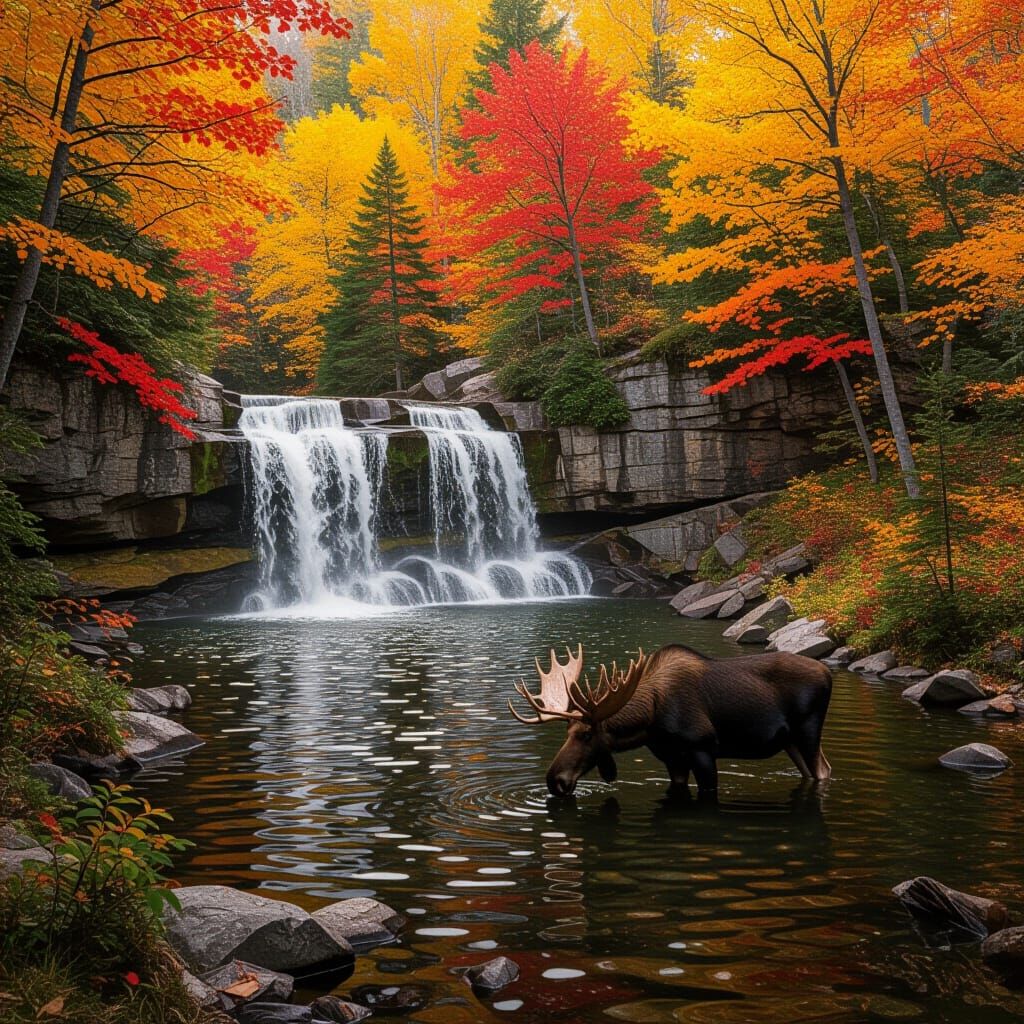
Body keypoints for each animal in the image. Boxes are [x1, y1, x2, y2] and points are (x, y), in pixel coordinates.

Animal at [509, 643, 832, 798]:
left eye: (587, 735)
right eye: (567, 732)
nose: (554, 781)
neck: (650, 722)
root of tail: (828, 673)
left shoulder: (702, 748)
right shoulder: (672, 758)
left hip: (808, 731)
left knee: (823, 770)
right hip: (790, 741)